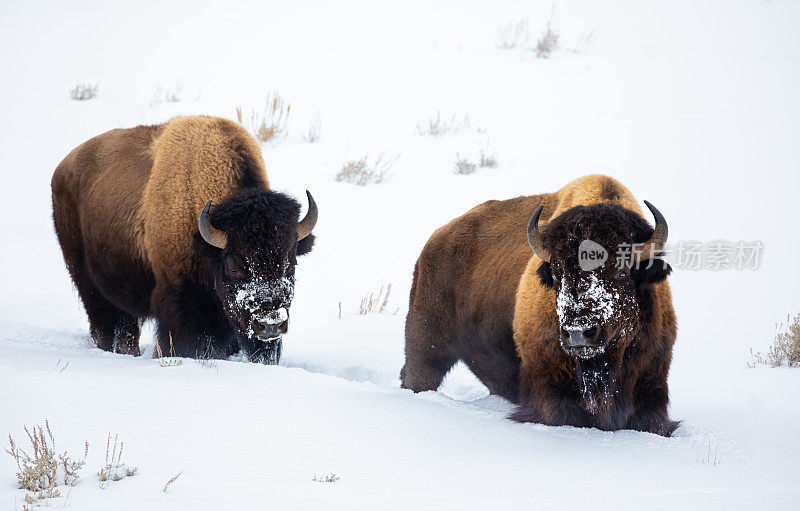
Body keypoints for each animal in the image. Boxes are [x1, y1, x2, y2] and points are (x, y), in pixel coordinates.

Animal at [49, 116, 318, 364]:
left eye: (291, 264)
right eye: (234, 264)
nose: (270, 324)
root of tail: (62, 168)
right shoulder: (182, 301)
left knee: (126, 328)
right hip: (85, 280)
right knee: (103, 323)